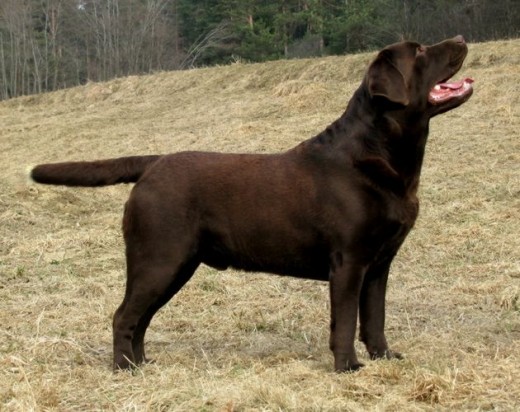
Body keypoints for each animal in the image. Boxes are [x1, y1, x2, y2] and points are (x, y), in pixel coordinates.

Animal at [30, 35, 474, 372]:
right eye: (419, 51)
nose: (460, 38)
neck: (381, 153)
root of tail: (152, 164)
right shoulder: (349, 262)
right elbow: (346, 321)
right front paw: (347, 366)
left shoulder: (380, 264)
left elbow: (375, 318)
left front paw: (384, 357)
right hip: (158, 258)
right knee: (124, 316)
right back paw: (125, 369)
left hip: (175, 265)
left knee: (140, 319)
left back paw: (142, 364)